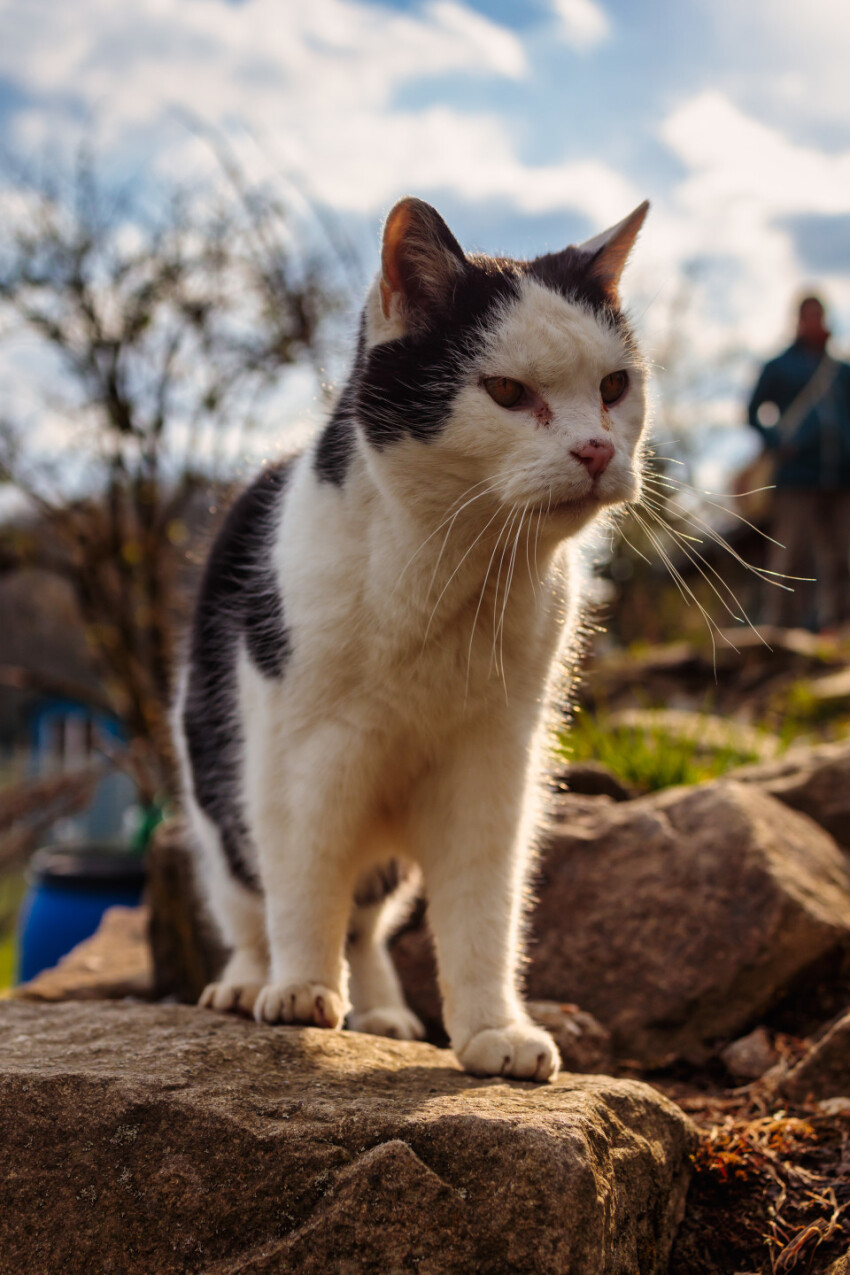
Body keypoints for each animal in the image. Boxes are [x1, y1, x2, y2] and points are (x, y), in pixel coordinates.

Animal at [175, 193, 647, 1081]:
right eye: (506, 391)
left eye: (614, 386)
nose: (597, 447)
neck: (449, 580)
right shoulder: (302, 756)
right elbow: (303, 880)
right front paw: (300, 991)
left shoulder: (495, 761)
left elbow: (484, 908)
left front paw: (494, 1030)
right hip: (220, 791)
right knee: (255, 900)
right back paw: (250, 984)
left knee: (366, 919)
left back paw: (386, 1013)